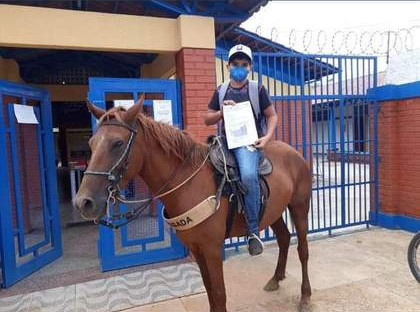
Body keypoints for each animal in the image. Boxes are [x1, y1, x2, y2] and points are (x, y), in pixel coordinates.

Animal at [74, 98, 312, 312]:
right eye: (91, 143)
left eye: (118, 143)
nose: (83, 202)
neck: (188, 184)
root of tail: (295, 154)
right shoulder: (197, 250)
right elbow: (210, 291)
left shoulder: (212, 250)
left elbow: (219, 294)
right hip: (274, 212)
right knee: (283, 238)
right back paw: (276, 278)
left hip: (300, 207)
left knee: (302, 250)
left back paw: (305, 296)